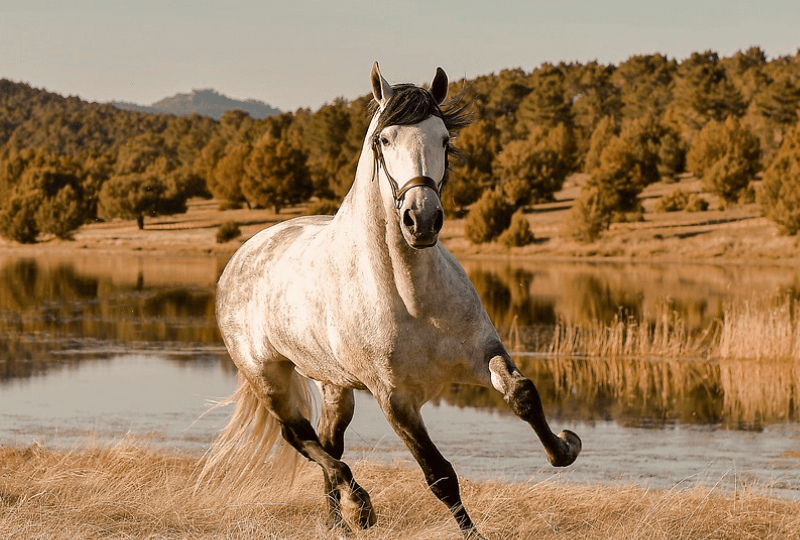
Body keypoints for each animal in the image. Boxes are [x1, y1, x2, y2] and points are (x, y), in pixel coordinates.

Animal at [203, 62, 580, 536]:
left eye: (444, 138)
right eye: (383, 139)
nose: (422, 219)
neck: (411, 297)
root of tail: (242, 255)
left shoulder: (481, 354)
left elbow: (523, 393)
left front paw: (564, 447)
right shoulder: (395, 400)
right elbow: (440, 476)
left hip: (334, 385)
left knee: (328, 442)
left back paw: (339, 523)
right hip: (268, 377)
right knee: (300, 437)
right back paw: (360, 507)